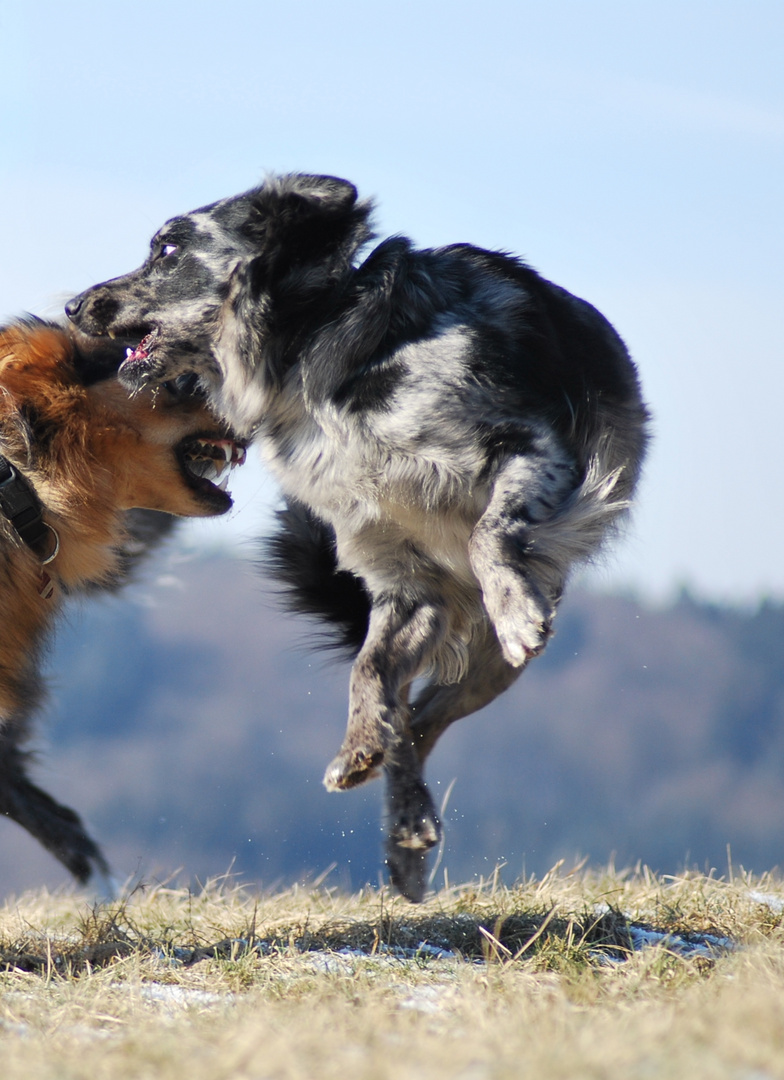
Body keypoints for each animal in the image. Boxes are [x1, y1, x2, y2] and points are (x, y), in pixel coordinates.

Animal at [67, 174, 652, 902]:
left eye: (167, 249)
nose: (72, 305)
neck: (311, 354)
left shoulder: (531, 447)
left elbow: (489, 533)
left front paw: (516, 610)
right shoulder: (405, 581)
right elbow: (368, 672)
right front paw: (359, 747)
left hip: (493, 661)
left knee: (429, 715)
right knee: (411, 720)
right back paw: (402, 826)